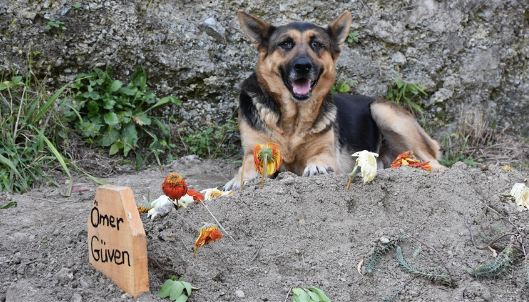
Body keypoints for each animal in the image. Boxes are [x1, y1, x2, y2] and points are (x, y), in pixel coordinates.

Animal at [223, 10, 442, 190]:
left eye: (316, 44)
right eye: (285, 43)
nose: (303, 66)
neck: (293, 120)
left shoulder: (327, 153)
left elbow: (319, 158)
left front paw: (317, 167)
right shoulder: (255, 153)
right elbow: (247, 167)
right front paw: (237, 180)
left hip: (381, 109)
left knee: (437, 165)